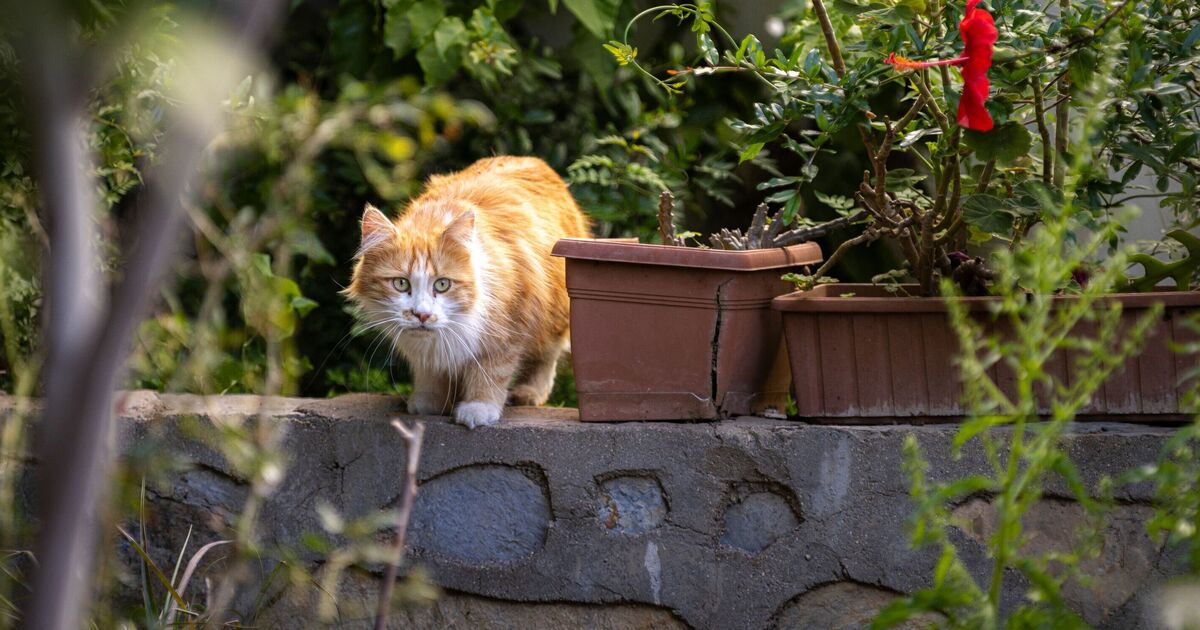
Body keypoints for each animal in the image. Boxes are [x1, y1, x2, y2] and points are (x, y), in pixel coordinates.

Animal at [343, 157, 590, 427]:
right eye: (401, 284)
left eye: (442, 284)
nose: (421, 315)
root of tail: (536, 161)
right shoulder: (426, 350)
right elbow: (429, 371)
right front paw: (429, 401)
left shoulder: (508, 328)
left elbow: (492, 371)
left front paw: (478, 408)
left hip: (554, 318)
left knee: (546, 358)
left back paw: (528, 393)